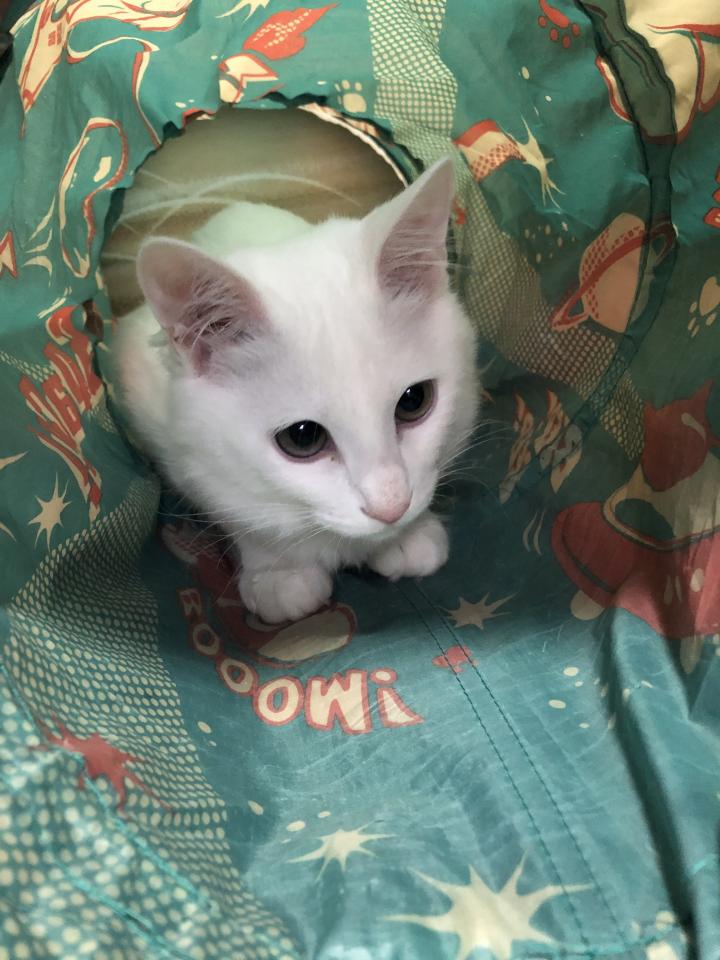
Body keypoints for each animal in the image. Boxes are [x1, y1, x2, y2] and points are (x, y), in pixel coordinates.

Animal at [112, 157, 479, 623]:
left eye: (414, 402)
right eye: (302, 438)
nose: (390, 507)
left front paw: (405, 536)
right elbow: (236, 510)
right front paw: (278, 571)